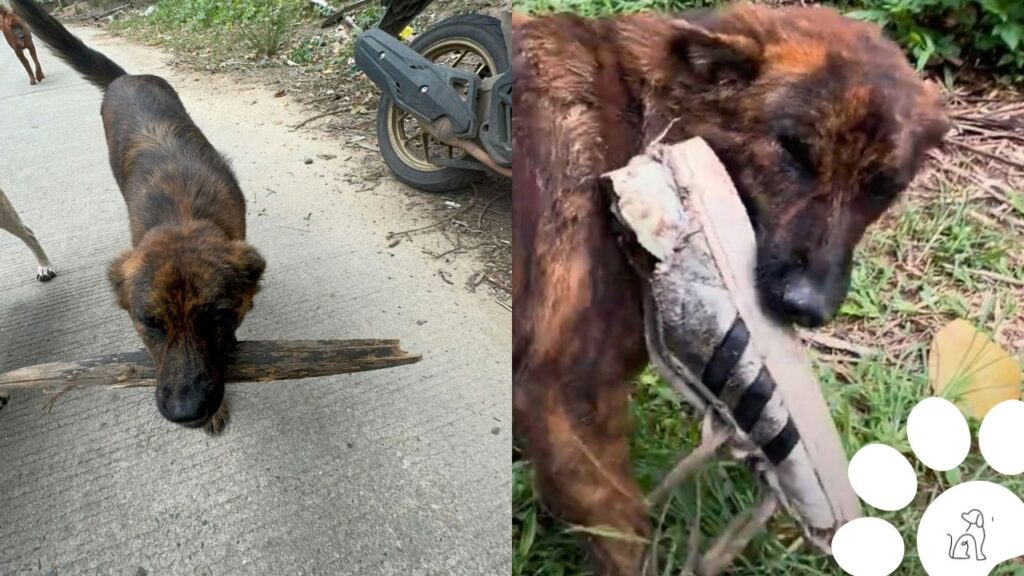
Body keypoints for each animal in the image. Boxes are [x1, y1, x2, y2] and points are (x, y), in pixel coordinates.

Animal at [516, 3, 946, 569]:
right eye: (794, 153)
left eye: (882, 188)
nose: (808, 306)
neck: (636, 114)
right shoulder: (566, 394)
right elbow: (627, 538)